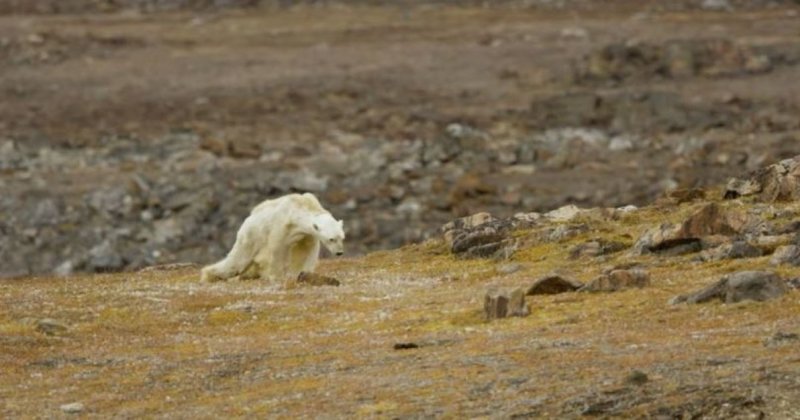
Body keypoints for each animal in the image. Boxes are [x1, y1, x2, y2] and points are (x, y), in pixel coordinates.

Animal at [200, 193, 344, 284]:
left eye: (342, 237)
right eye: (331, 239)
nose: (339, 252)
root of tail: (249, 218)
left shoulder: (306, 235)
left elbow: (305, 252)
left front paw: (301, 273)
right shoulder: (282, 226)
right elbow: (277, 249)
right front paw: (276, 276)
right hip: (251, 235)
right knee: (237, 261)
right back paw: (209, 275)